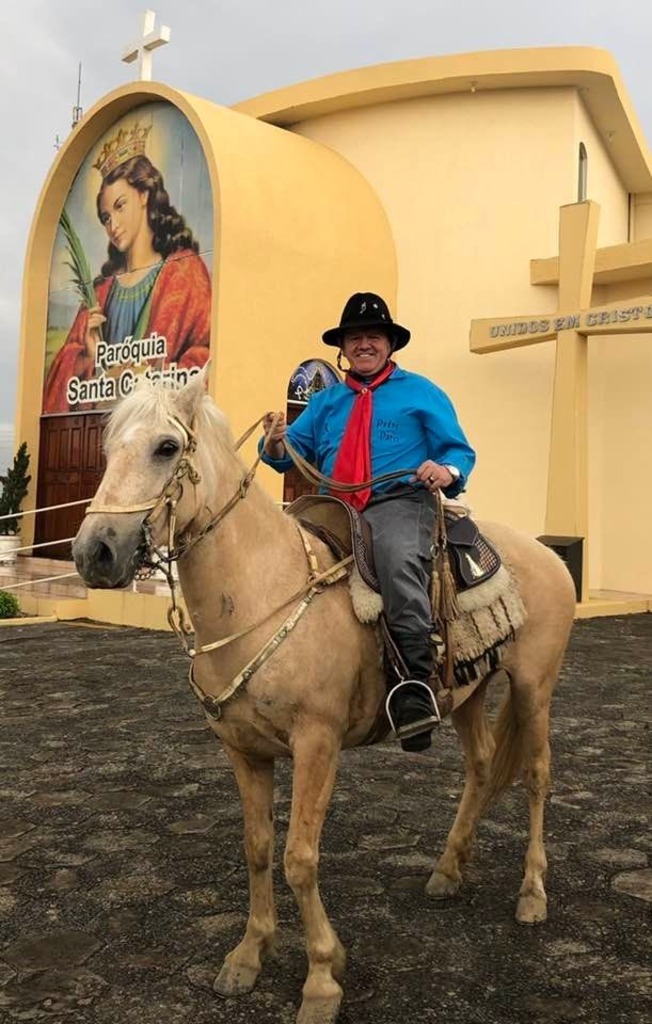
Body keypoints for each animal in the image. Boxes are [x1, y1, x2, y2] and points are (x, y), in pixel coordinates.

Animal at [72, 374, 573, 1024]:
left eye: (165, 447)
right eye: (108, 449)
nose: (94, 553)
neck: (262, 588)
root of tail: (546, 554)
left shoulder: (317, 744)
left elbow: (300, 858)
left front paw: (322, 978)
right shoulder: (244, 750)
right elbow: (258, 848)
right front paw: (248, 955)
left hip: (535, 687)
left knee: (536, 775)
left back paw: (532, 893)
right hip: (468, 691)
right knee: (483, 766)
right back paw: (447, 869)